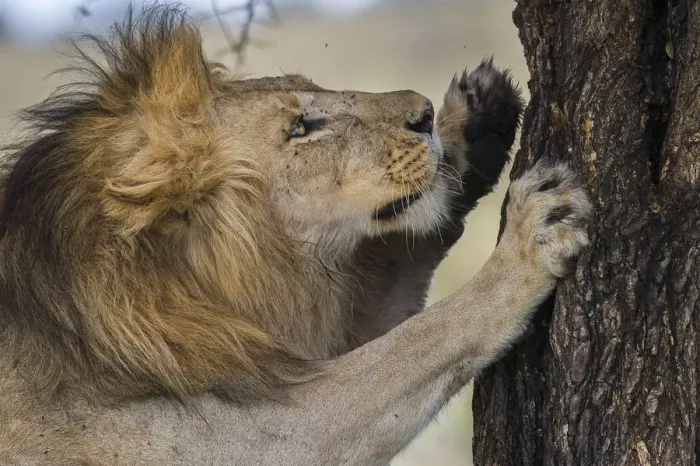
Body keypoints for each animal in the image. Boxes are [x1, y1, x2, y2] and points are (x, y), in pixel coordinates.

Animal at [0, 5, 592, 465]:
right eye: (300, 129)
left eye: (313, 90)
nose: (425, 114)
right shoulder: (256, 436)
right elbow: (421, 341)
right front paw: (532, 239)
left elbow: (393, 276)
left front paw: (474, 125)